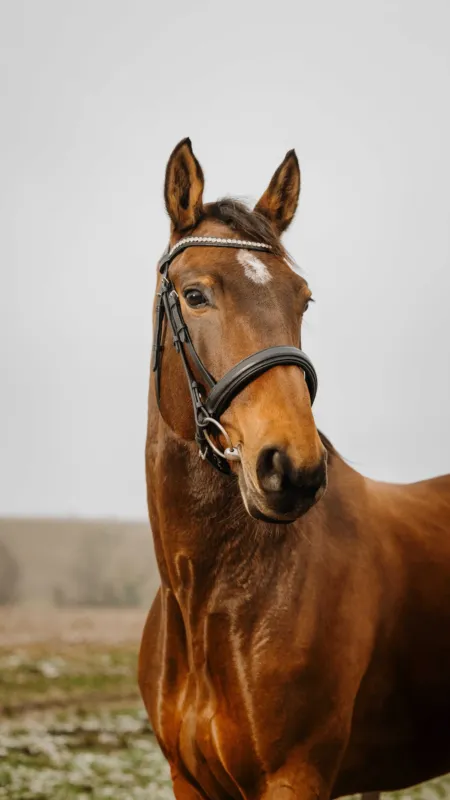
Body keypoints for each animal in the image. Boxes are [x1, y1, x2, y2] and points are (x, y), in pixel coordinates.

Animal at [138, 138, 450, 800]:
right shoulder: (188, 780)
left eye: (302, 298)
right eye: (195, 295)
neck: (212, 601)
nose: (294, 469)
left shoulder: (295, 776)